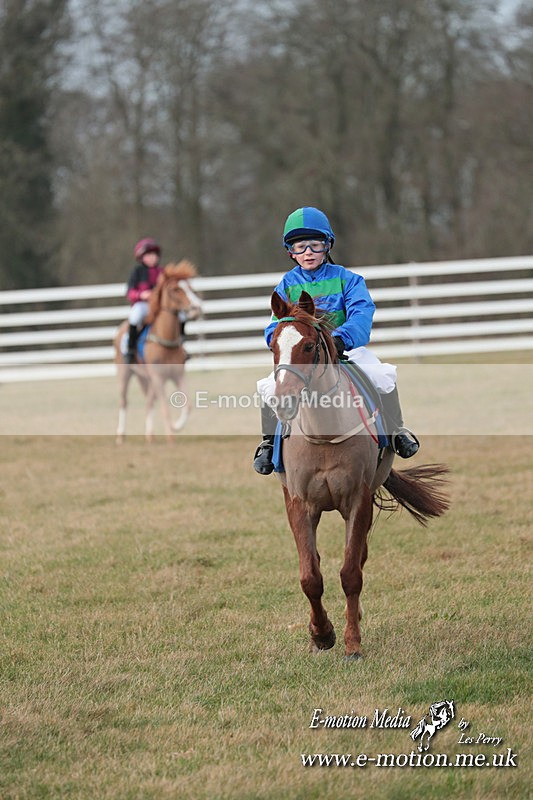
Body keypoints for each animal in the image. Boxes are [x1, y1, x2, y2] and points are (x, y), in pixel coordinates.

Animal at [114, 260, 202, 443]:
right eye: (175, 289)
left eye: (190, 286)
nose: (196, 307)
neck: (165, 340)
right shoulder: (158, 378)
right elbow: (164, 406)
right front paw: (170, 436)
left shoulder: (177, 375)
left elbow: (188, 405)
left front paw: (175, 426)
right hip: (125, 373)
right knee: (124, 401)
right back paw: (120, 436)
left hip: (147, 378)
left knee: (149, 401)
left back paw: (150, 434)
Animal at [269, 290, 450, 659]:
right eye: (273, 346)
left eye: (308, 345)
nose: (283, 401)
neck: (324, 435)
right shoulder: (298, 503)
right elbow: (310, 576)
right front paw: (321, 634)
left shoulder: (358, 499)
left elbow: (351, 571)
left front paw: (352, 641)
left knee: (359, 557)